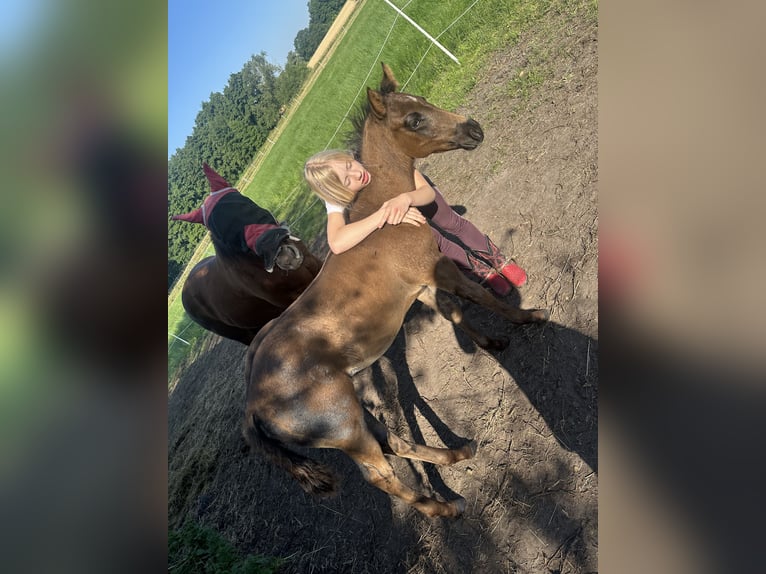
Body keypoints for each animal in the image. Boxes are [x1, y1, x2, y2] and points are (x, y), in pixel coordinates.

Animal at [242, 63, 549, 518]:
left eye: (423, 100)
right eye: (414, 120)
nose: (473, 129)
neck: (385, 212)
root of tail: (252, 405)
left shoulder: (421, 285)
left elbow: (455, 312)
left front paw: (492, 343)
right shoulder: (435, 267)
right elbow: (479, 296)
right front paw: (530, 317)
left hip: (354, 411)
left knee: (395, 441)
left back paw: (459, 452)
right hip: (344, 424)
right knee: (380, 474)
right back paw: (445, 508)